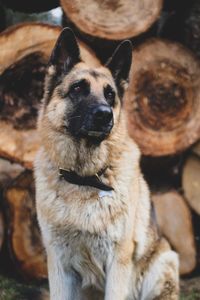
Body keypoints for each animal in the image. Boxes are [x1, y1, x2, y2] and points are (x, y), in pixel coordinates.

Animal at [34, 28, 180, 300]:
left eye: (110, 94)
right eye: (78, 88)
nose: (104, 115)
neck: (83, 178)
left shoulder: (118, 264)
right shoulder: (59, 266)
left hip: (164, 263)